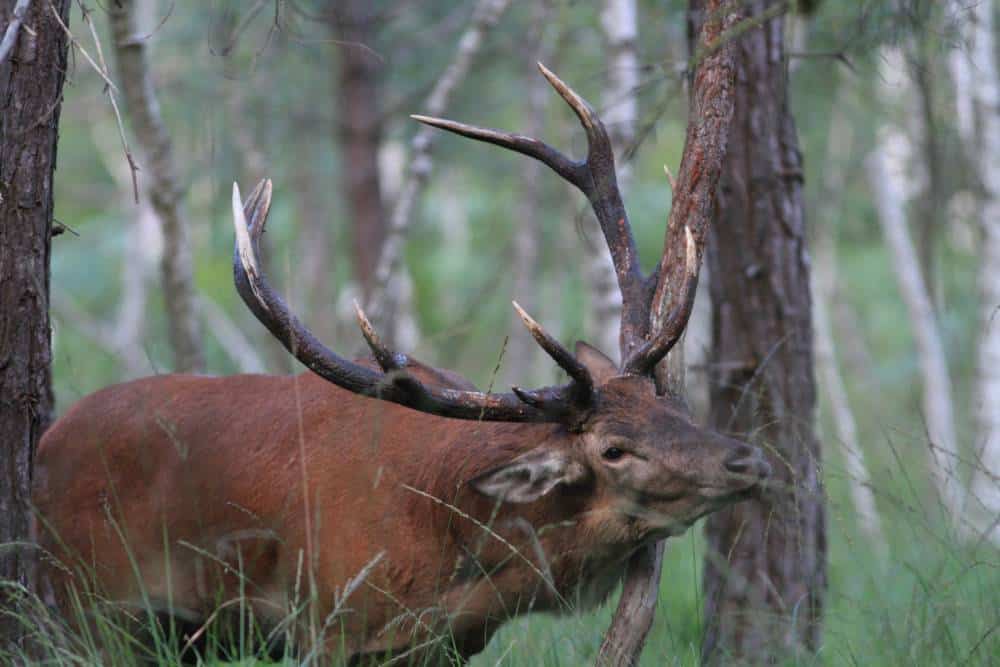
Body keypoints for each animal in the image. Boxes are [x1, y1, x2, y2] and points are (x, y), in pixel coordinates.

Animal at [32, 64, 765, 665]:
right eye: (613, 448)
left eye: (671, 406)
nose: (747, 458)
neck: (451, 563)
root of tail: (45, 443)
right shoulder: (320, 620)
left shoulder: (447, 646)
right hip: (88, 604)